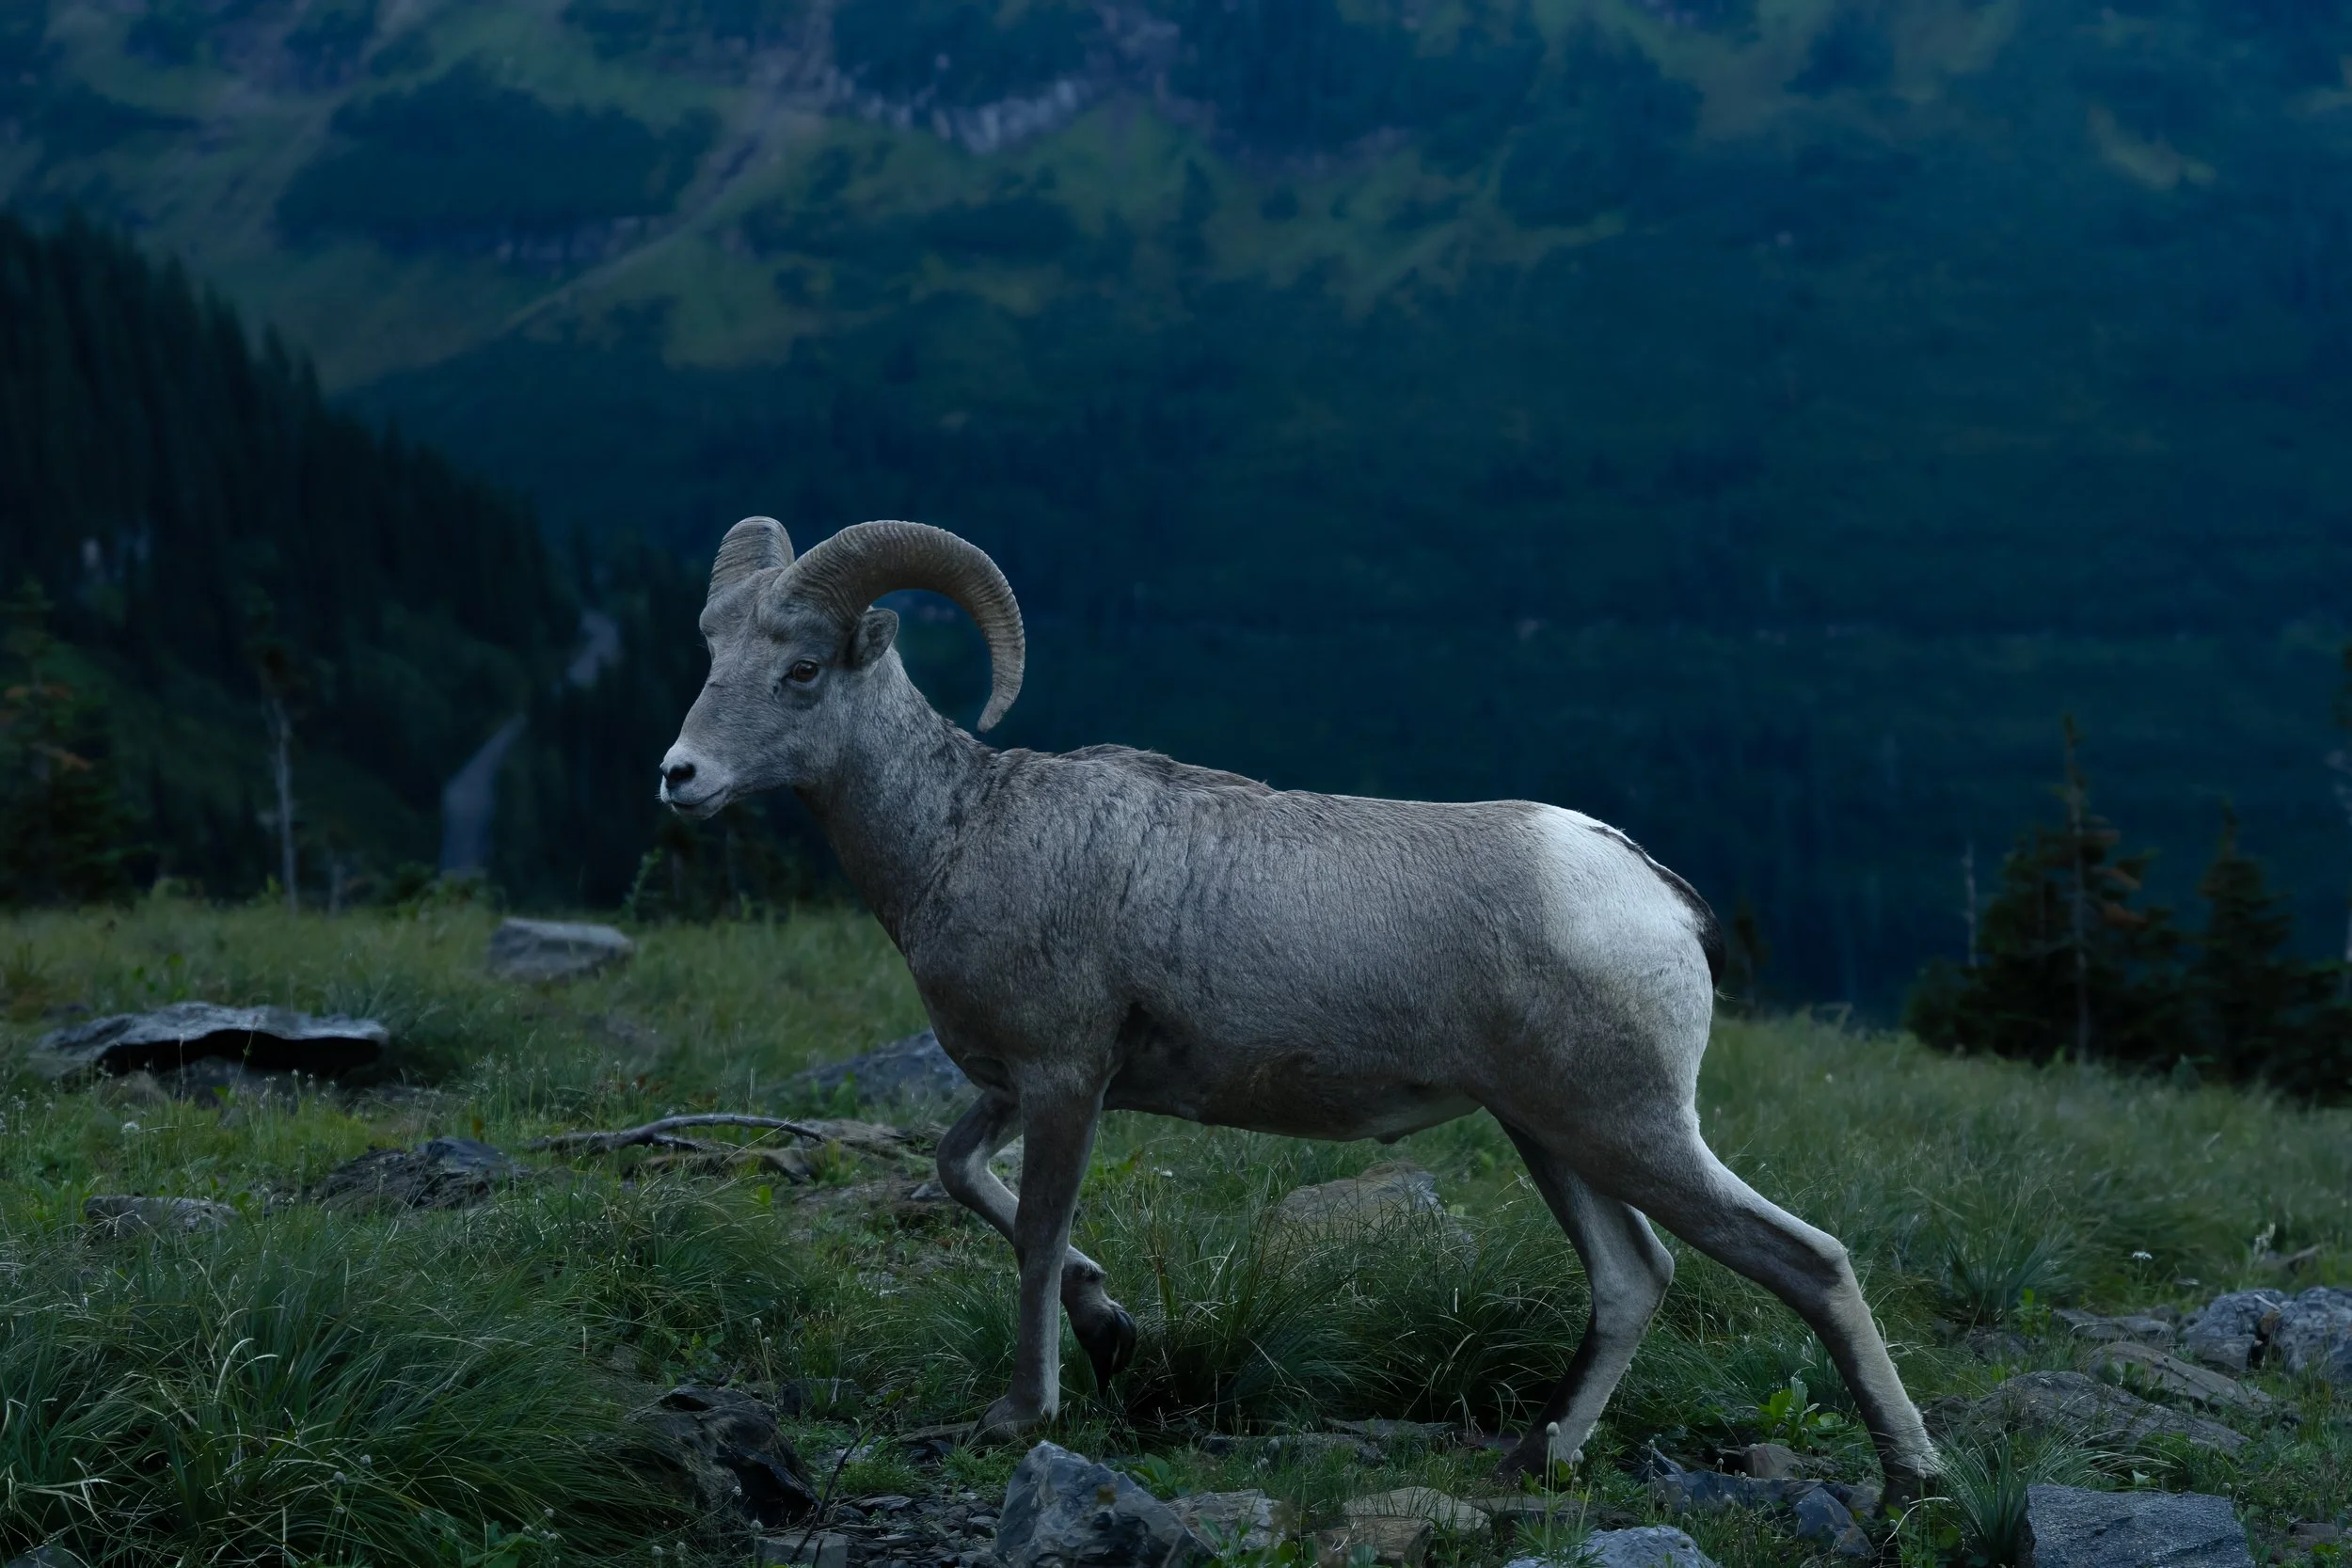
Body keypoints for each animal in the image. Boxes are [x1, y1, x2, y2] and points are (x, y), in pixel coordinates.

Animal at [659, 516, 1940, 1502]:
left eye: (802, 669)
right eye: (711, 652)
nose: (678, 776)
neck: (958, 836)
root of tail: (1650, 890)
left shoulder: (1066, 1080)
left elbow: (1032, 1236)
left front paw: (1023, 1414)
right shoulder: (1018, 1086)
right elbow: (958, 1173)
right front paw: (1111, 1323)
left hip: (1625, 1127)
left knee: (1807, 1260)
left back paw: (1908, 1479)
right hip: (1552, 1133)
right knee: (1634, 1278)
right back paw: (1534, 1458)